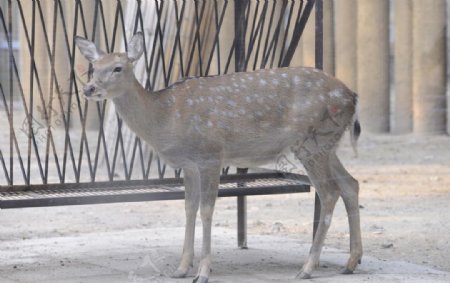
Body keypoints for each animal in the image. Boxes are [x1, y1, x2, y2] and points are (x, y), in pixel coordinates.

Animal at [74, 32, 362, 282]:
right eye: (94, 66)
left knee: (329, 193)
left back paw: (308, 268)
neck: (165, 117)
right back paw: (351, 262)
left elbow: (206, 210)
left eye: (117, 68)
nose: (89, 89)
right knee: (351, 183)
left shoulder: (210, 155)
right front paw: (181, 268)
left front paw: (203, 272)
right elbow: (189, 208)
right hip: (328, 145)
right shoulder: (189, 165)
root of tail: (352, 96)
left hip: (313, 142)